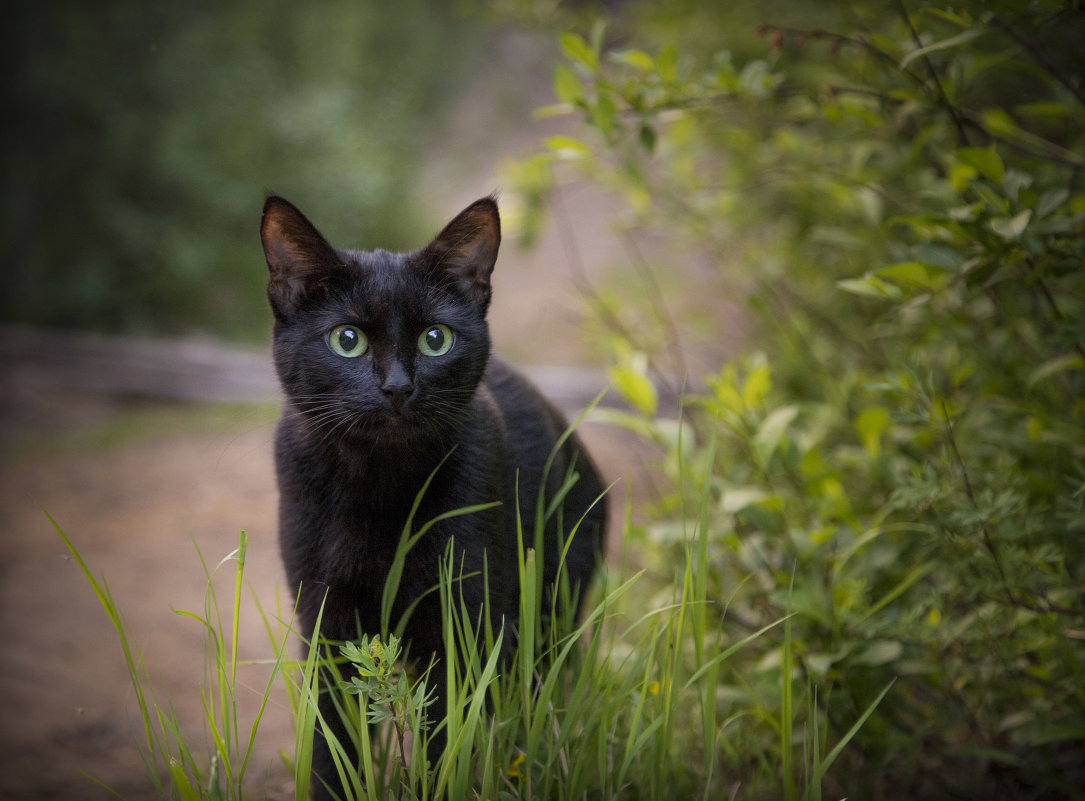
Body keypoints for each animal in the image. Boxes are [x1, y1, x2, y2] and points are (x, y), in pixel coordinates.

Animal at [259, 192, 607, 794]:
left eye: (435, 339)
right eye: (347, 340)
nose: (398, 387)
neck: (379, 488)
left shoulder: (463, 621)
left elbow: (446, 739)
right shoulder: (325, 619)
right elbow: (334, 740)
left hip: (549, 613)